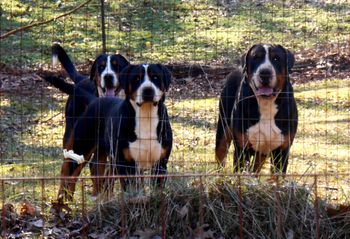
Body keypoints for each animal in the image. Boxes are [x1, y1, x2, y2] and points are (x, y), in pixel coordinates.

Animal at [59, 63, 174, 200]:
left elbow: (156, 189)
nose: (148, 90)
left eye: (155, 77)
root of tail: (94, 100)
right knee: (69, 173)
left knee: (98, 172)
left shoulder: (160, 163)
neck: (146, 116)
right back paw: (64, 201)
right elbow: (131, 190)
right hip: (81, 147)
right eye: (137, 78)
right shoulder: (126, 164)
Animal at [216, 44, 298, 173]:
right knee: (220, 156)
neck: (266, 104)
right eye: (256, 58)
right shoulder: (242, 148)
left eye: (276, 58)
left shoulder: (282, 150)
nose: (265, 72)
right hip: (223, 130)